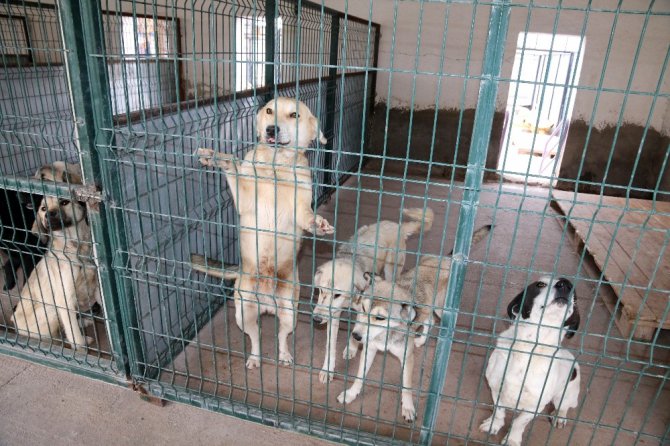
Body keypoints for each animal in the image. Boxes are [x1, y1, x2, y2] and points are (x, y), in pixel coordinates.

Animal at [196, 97, 334, 370]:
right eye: (270, 110)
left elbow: (307, 217)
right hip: (243, 313)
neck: (276, 166)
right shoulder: (245, 199)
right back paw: (254, 358)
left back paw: (284, 356)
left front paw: (319, 224)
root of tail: (268, 305)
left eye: (294, 115)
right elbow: (234, 167)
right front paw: (219, 159)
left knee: (281, 336)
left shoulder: (300, 209)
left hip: (289, 313)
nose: (271, 129)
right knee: (256, 337)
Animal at [312, 206, 436, 384]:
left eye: (337, 295)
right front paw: (327, 369)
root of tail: (397, 226)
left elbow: (356, 330)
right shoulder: (333, 315)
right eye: (321, 290)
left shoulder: (362, 311)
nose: (316, 319)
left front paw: (351, 348)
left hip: (392, 270)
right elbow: (330, 346)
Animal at [342, 225, 494, 424]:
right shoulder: (370, 349)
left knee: (438, 323)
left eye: (380, 318)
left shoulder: (407, 359)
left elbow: (406, 387)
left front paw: (408, 408)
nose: (355, 336)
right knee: (429, 320)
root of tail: (447, 259)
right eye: (363, 309)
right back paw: (420, 340)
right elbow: (359, 376)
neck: (386, 335)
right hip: (429, 308)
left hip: (442, 310)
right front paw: (351, 394)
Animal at [484, 278, 584, 444]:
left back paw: (559, 417)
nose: (565, 284)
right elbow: (498, 411)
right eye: (540, 284)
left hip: (566, 395)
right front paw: (493, 425)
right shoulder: (495, 388)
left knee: (564, 406)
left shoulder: (536, 406)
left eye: (575, 294)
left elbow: (519, 423)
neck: (530, 348)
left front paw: (512, 440)